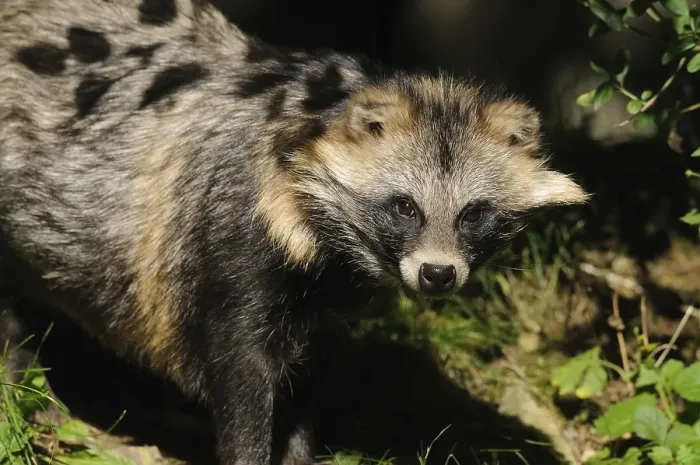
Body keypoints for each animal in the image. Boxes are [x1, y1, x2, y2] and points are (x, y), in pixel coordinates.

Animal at [0, 0, 588, 464]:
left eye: (473, 213)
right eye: (404, 207)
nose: (438, 274)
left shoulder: (320, 318)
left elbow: (302, 392)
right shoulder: (229, 252)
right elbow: (242, 384)